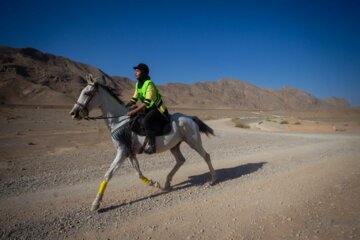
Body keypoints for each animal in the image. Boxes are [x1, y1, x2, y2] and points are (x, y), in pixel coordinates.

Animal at [70, 75, 217, 210]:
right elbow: (138, 173)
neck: (120, 121)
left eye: (87, 93)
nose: (73, 113)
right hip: (175, 146)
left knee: (206, 156)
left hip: (193, 142)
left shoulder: (122, 151)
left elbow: (108, 174)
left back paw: (212, 180)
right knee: (180, 160)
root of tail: (190, 118)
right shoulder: (130, 153)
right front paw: (154, 183)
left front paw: (96, 203)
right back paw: (167, 183)